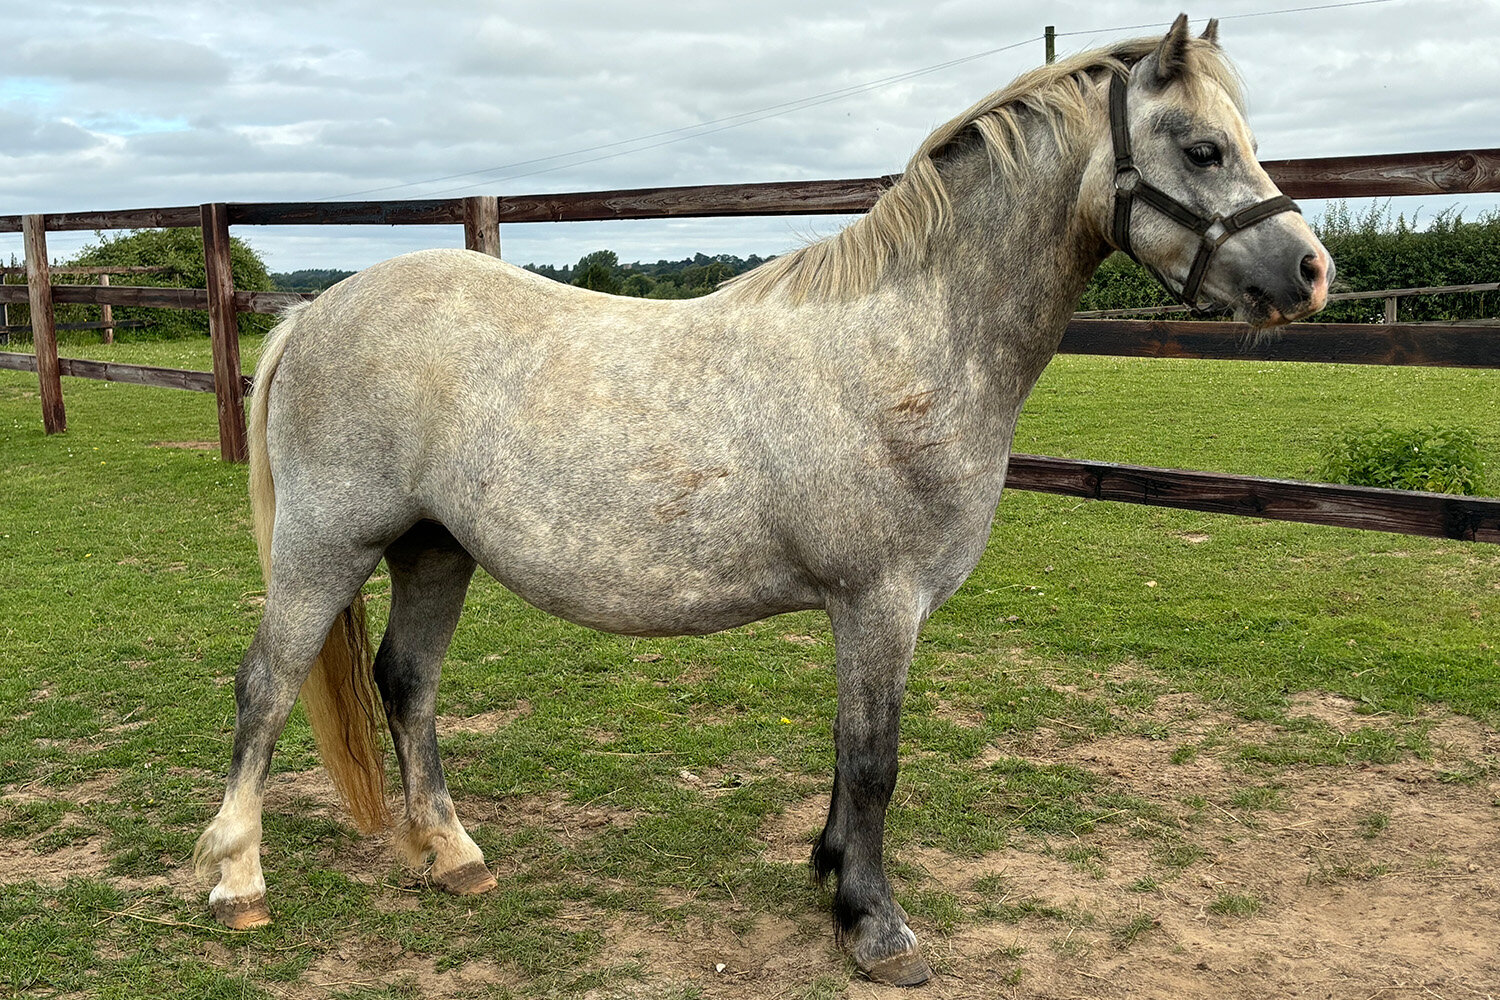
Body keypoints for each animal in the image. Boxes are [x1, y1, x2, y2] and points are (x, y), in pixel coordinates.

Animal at [196, 15, 1326, 983]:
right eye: (1201, 149)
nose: (1311, 273)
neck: (909, 346)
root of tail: (317, 309)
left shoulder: (865, 612)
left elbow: (844, 749)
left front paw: (830, 870)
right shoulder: (880, 602)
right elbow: (874, 760)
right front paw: (875, 924)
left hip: (435, 546)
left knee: (407, 684)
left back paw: (452, 853)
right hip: (326, 545)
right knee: (267, 686)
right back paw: (239, 881)